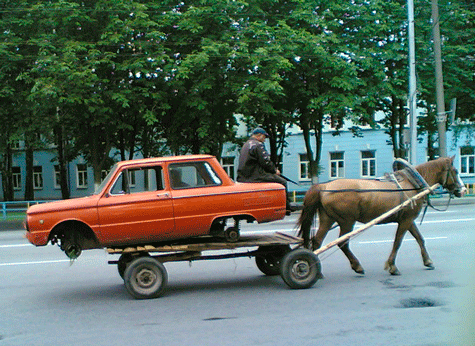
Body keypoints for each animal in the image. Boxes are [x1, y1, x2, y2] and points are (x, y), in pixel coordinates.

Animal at [300, 157, 466, 276]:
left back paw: (318, 270)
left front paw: (428, 261)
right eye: (456, 171)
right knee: (342, 243)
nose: (463, 190)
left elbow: (420, 239)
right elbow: (398, 242)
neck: (412, 183)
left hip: (327, 219)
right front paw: (392, 267)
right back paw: (357, 266)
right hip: (347, 221)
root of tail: (324, 186)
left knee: (317, 242)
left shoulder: (408, 219)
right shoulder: (406, 220)